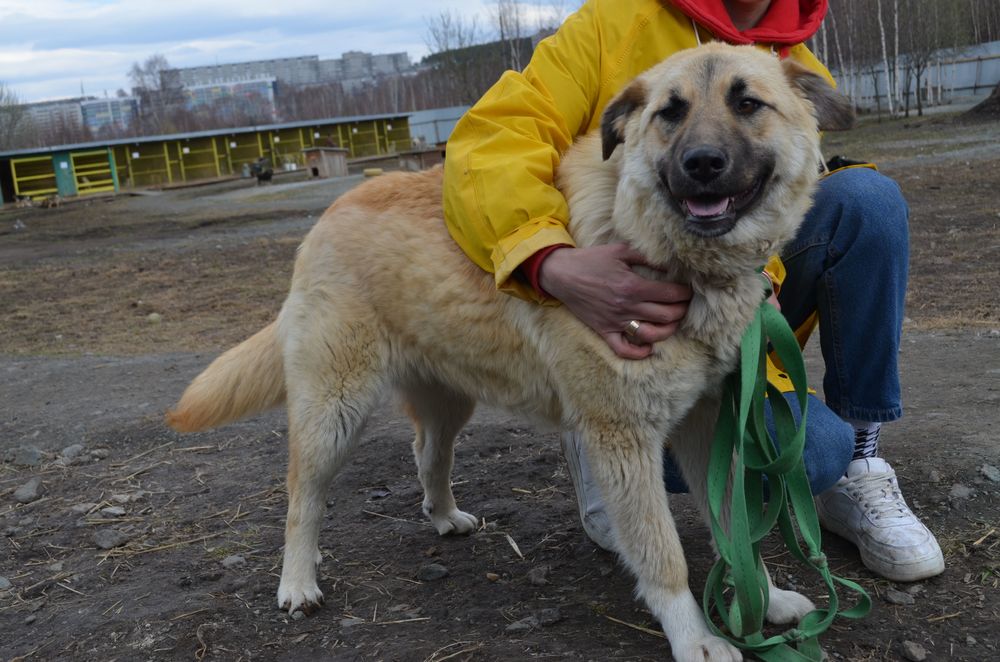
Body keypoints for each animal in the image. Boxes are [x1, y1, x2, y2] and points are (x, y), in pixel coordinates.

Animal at [168, 44, 853, 661]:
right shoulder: (624, 438)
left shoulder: (709, 425)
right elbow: (665, 556)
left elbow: (734, 527)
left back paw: (444, 517)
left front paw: (764, 598)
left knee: (426, 454)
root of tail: (330, 213)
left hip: (450, 400)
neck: (664, 252)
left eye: (747, 103)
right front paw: (696, 639)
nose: (702, 162)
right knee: (301, 498)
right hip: (333, 414)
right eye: (670, 111)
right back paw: (297, 583)